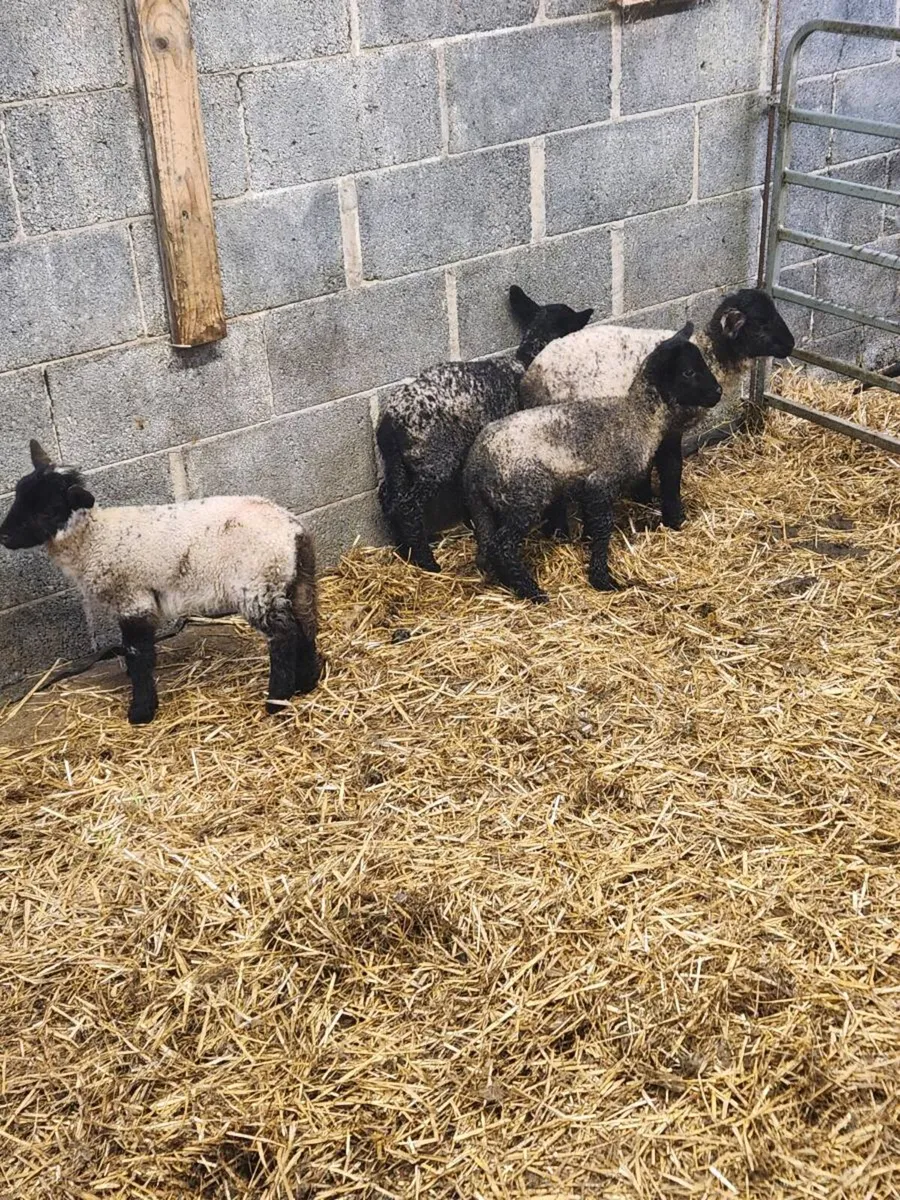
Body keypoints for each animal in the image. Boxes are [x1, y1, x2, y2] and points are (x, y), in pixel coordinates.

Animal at [0, 441, 320, 724]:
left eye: (47, 510)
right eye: (18, 494)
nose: (3, 535)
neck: (94, 538)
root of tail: (294, 531)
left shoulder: (133, 599)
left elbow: (138, 654)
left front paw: (141, 711)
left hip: (256, 585)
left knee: (283, 635)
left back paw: (277, 700)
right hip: (293, 581)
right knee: (305, 623)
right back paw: (307, 682)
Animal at [376, 284, 593, 573]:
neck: (527, 362)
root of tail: (390, 422)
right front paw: (558, 532)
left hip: (398, 462)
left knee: (390, 498)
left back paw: (404, 551)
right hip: (432, 459)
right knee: (408, 507)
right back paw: (427, 562)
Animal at [463, 324, 722, 604]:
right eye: (688, 372)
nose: (718, 392)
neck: (637, 415)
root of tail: (475, 463)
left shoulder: (589, 488)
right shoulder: (601, 483)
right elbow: (602, 529)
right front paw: (602, 579)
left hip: (484, 507)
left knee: (488, 546)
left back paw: (507, 582)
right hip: (526, 495)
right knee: (503, 545)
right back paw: (532, 591)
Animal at [519, 288, 794, 529]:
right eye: (761, 322)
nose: (791, 344)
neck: (710, 355)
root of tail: (531, 377)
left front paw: (644, 495)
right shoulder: (669, 426)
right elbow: (671, 468)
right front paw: (673, 515)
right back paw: (559, 530)